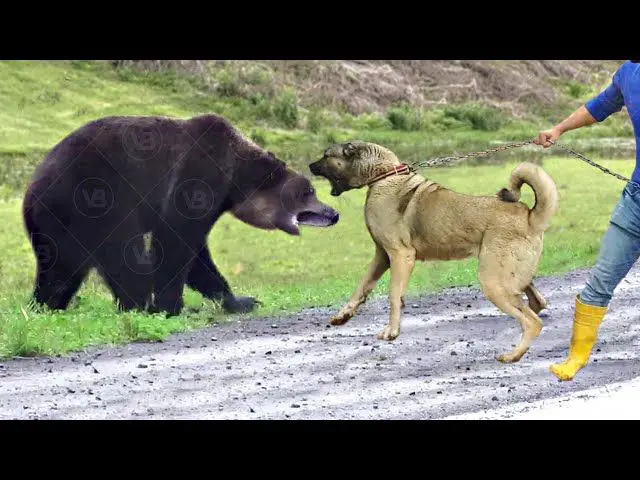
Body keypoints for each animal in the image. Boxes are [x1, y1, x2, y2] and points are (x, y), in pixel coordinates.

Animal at [21, 112, 338, 316]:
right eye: (309, 191)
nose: (333, 213)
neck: (235, 179)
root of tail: (32, 190)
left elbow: (199, 258)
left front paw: (240, 301)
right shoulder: (198, 174)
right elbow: (176, 239)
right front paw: (171, 306)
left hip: (59, 226)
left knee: (60, 270)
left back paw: (45, 305)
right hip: (94, 201)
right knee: (125, 254)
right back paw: (141, 305)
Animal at [308, 141, 556, 362]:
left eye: (326, 155)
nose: (310, 166)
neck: (384, 175)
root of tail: (529, 216)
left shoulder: (400, 255)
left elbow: (394, 295)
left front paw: (392, 331)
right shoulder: (382, 256)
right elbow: (362, 287)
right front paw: (343, 315)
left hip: (494, 282)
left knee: (533, 322)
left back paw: (513, 356)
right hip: (511, 277)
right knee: (536, 304)